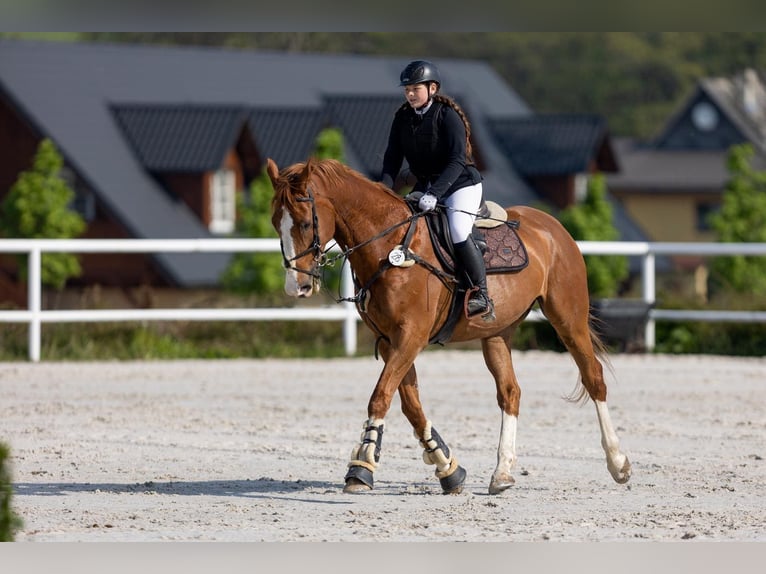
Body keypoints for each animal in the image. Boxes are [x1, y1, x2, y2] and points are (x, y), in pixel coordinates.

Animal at [268, 156, 632, 496]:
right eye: (275, 223)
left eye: (304, 223)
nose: (297, 286)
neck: (390, 247)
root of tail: (552, 225)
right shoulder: (389, 340)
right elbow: (410, 404)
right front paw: (447, 466)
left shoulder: (410, 337)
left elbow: (381, 396)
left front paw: (362, 465)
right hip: (496, 334)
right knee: (510, 392)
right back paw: (502, 473)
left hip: (568, 318)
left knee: (593, 378)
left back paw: (618, 464)